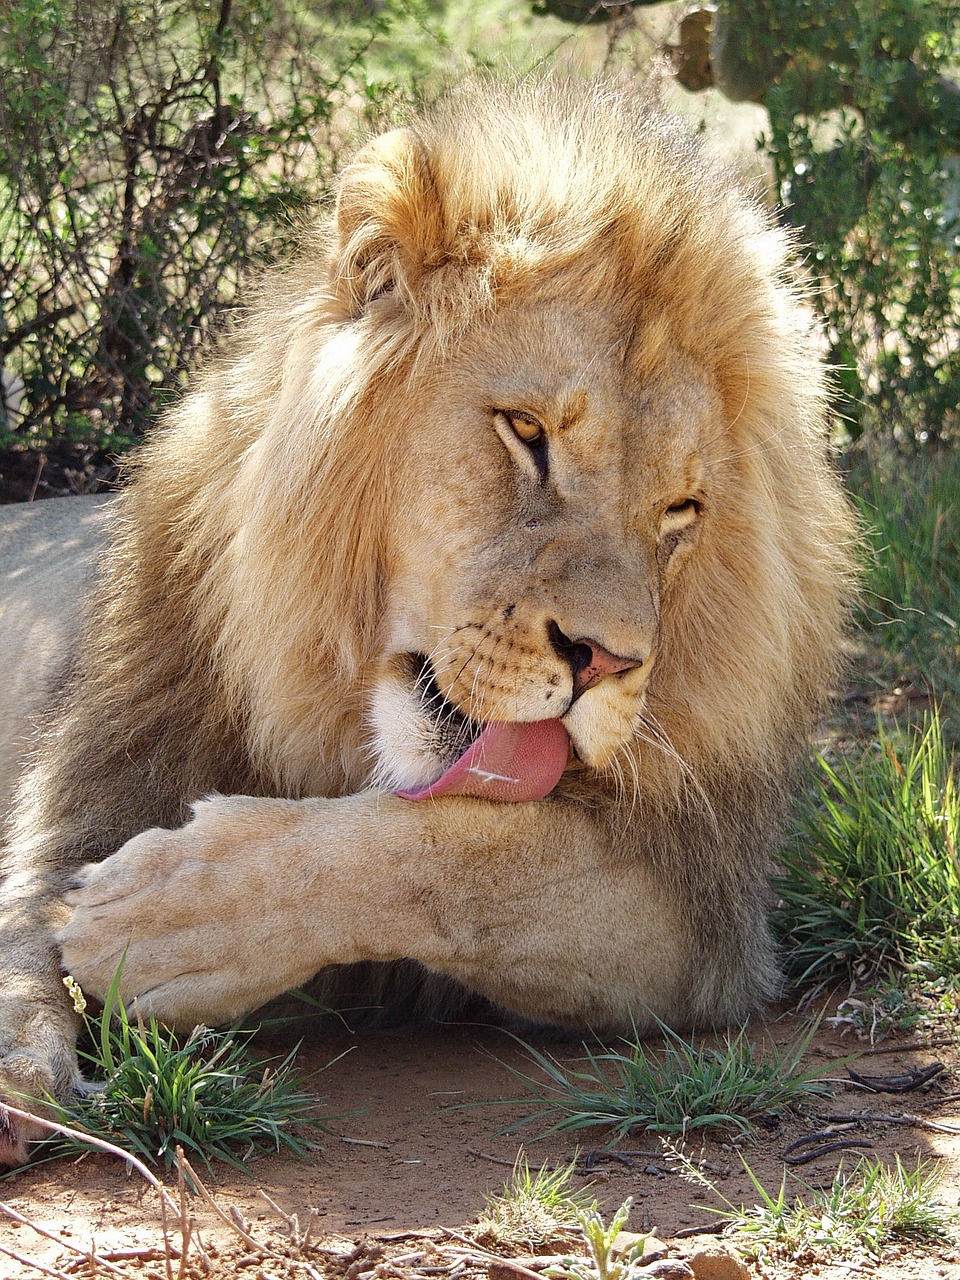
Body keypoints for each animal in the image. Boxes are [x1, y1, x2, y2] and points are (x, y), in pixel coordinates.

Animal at [0, 74, 855, 1167]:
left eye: (681, 510)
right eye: (526, 433)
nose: (607, 661)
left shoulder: (700, 913)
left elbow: (463, 855)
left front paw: (169, 909)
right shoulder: (93, 772)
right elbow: (23, 923)